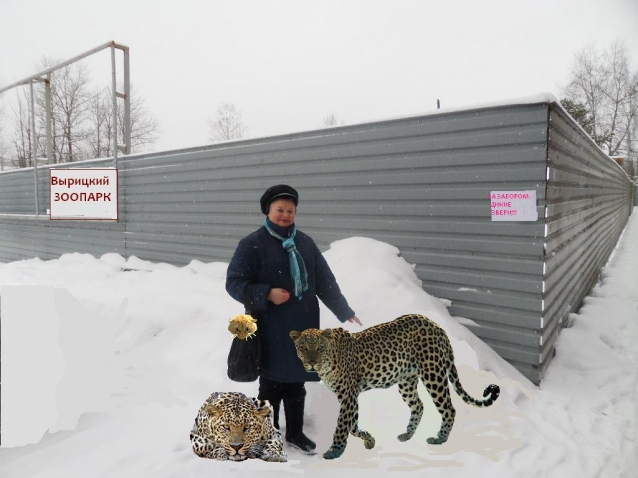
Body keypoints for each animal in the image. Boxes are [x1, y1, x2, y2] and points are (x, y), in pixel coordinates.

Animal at [288, 314, 500, 460]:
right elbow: (353, 426)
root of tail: (437, 326)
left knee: (448, 408)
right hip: (406, 381)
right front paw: (369, 440)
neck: (328, 362)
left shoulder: (348, 396)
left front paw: (335, 451)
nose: (312, 363)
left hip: (433, 374)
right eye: (303, 348)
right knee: (418, 405)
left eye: (319, 348)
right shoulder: (350, 397)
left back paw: (440, 438)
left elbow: (342, 426)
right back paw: (407, 434)